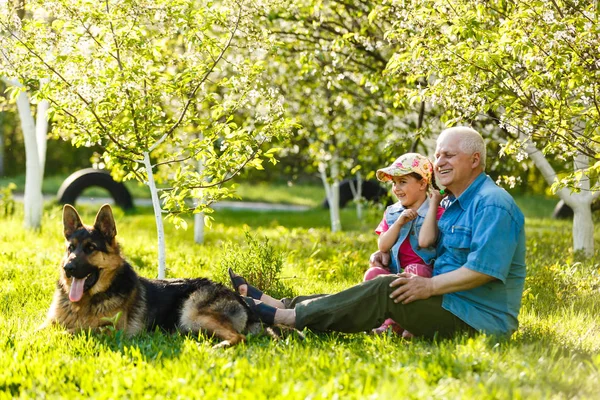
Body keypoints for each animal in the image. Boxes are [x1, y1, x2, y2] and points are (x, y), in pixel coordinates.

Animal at [42, 203, 268, 346]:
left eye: (90, 248)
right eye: (71, 248)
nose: (68, 268)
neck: (86, 301)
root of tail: (241, 299)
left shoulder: (109, 331)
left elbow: (69, 331)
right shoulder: (49, 322)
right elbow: (40, 329)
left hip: (193, 314)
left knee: (239, 338)